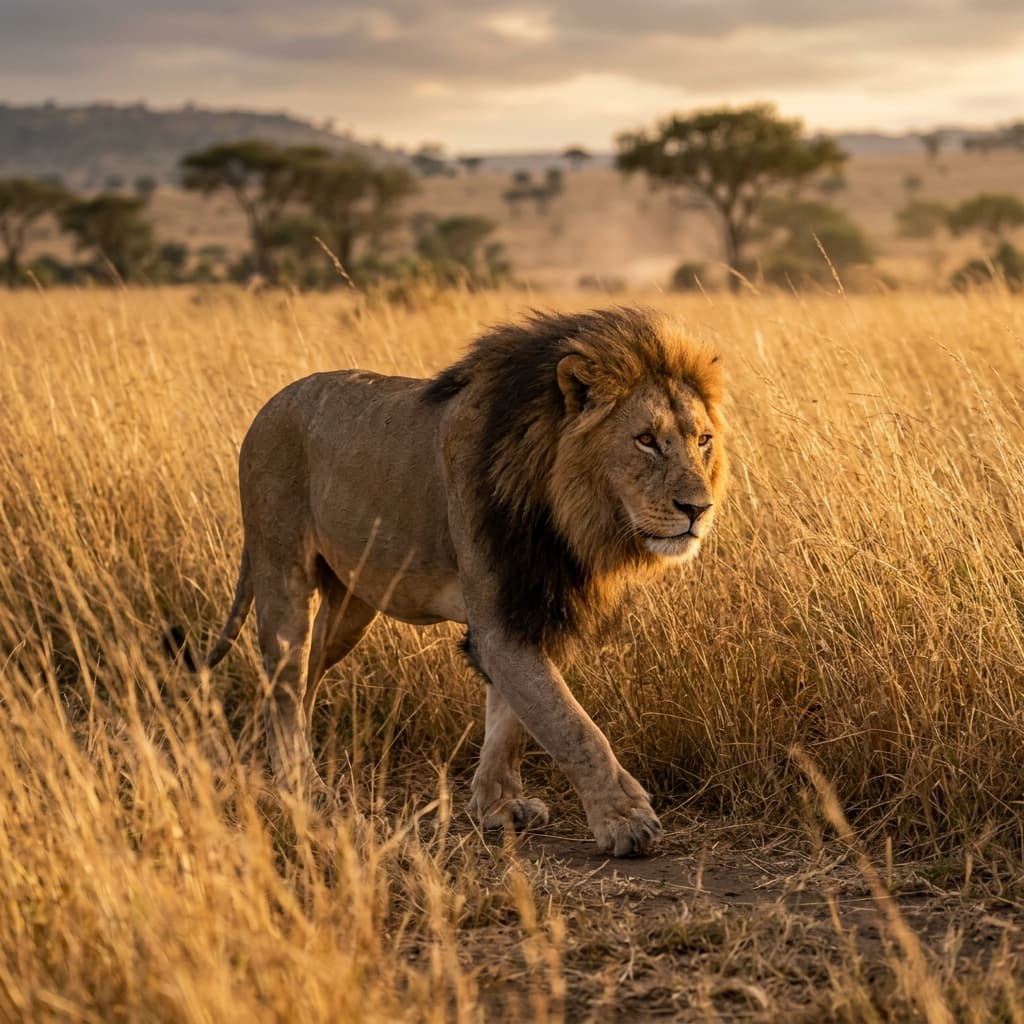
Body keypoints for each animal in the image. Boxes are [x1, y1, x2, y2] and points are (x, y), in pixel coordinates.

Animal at [178, 307, 726, 856]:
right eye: (646, 440)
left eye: (703, 440)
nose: (698, 509)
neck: (563, 509)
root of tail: (268, 407)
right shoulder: (500, 620)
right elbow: (570, 725)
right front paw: (624, 820)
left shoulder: (525, 607)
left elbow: (511, 721)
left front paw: (497, 805)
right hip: (285, 575)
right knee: (284, 683)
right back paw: (302, 785)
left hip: (349, 609)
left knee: (300, 682)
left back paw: (285, 771)